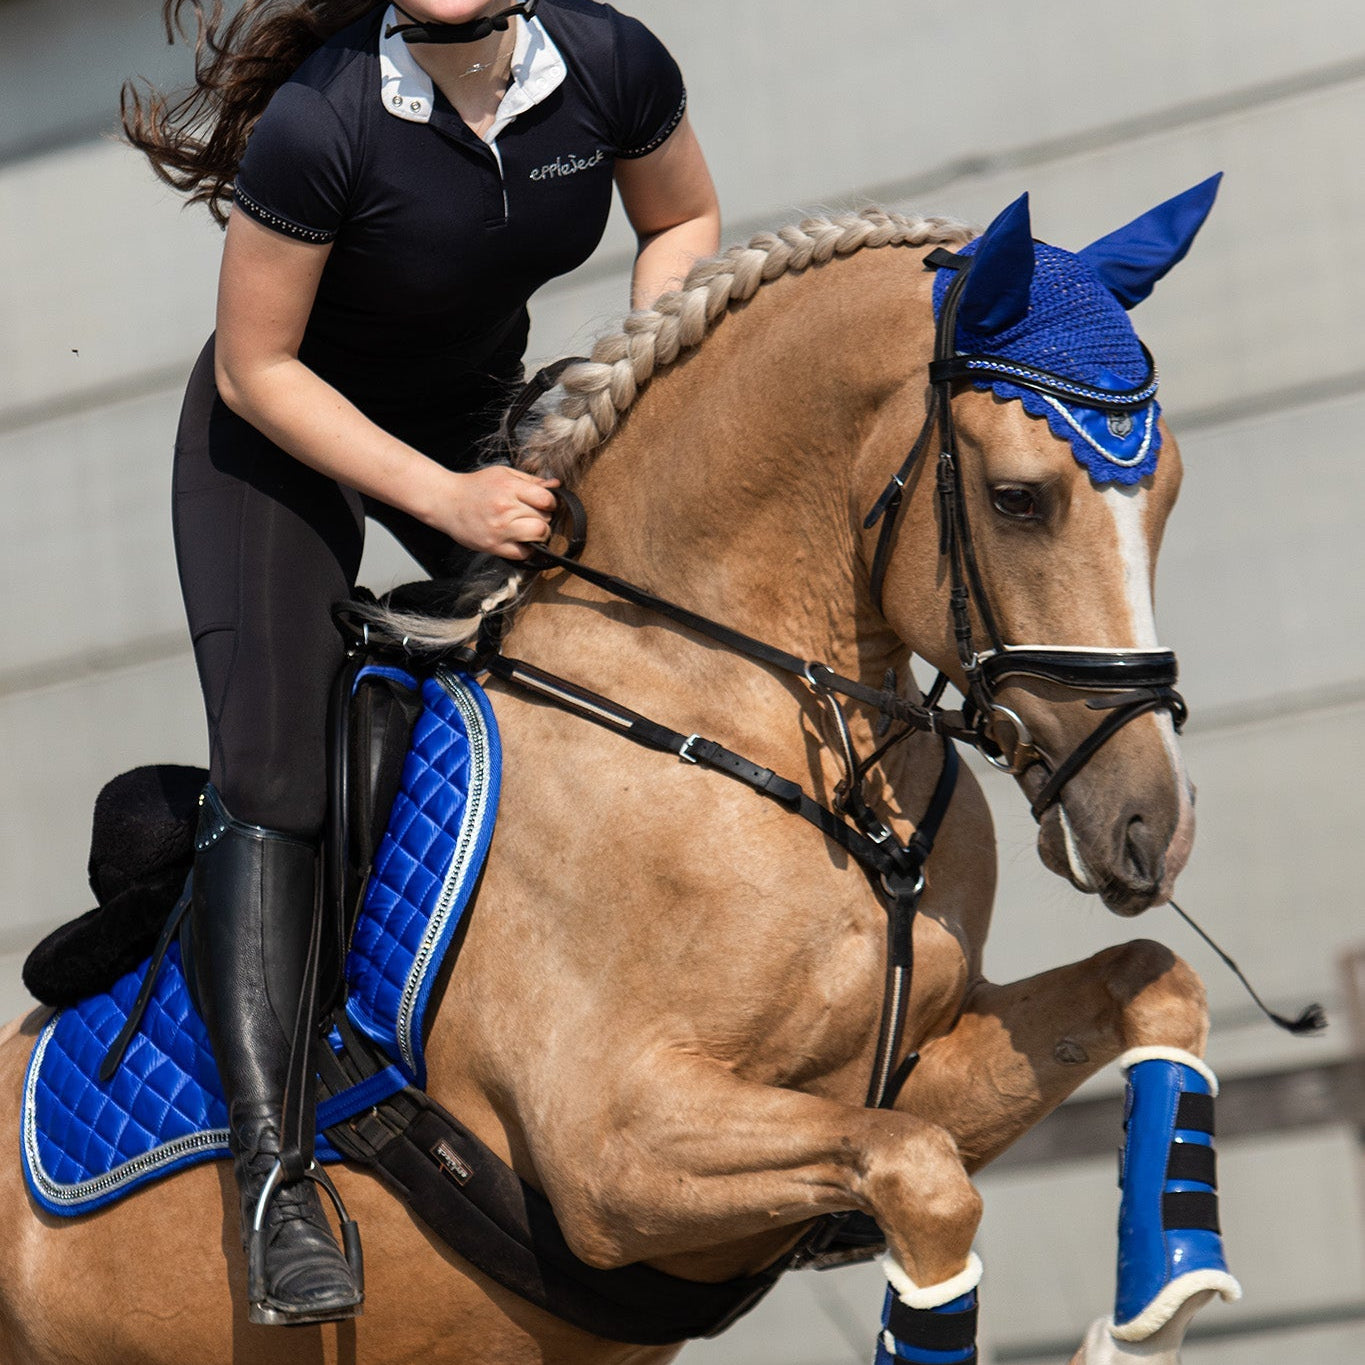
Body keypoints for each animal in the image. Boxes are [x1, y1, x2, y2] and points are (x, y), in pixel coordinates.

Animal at [0, 192, 1239, 1365]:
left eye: (1173, 488)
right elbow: (925, 1181)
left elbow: (1148, 982)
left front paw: (1150, 1319)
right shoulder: (614, 1153)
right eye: (1021, 498)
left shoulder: (896, 1076)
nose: (1151, 827)